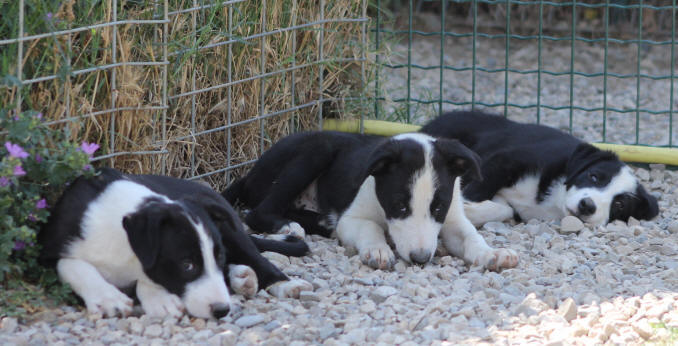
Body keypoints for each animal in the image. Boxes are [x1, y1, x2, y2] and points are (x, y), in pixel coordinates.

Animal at [38, 168, 312, 318]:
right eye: (186, 265)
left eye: (219, 256)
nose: (221, 310)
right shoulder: (46, 255)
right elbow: (72, 265)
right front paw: (108, 298)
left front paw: (160, 299)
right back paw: (241, 276)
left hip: (231, 228)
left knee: (256, 257)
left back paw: (281, 283)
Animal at [224, 131, 520, 272]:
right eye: (399, 206)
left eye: (438, 207)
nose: (421, 259)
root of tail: (249, 175)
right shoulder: (352, 218)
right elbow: (370, 226)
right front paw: (377, 250)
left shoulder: (452, 218)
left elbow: (470, 236)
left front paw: (491, 253)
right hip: (317, 149)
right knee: (257, 212)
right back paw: (291, 225)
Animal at [422, 109, 660, 226]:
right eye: (594, 177)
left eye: (620, 204)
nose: (587, 206)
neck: (554, 200)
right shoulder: (506, 159)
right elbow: (477, 189)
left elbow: (504, 209)